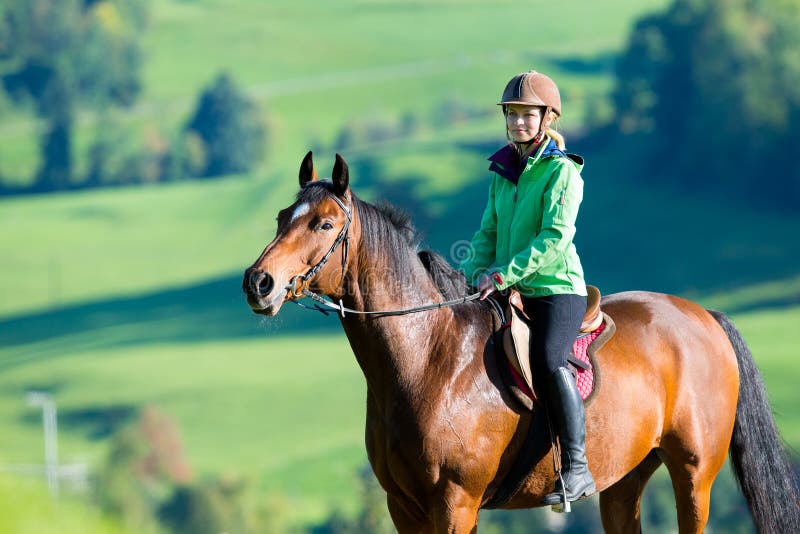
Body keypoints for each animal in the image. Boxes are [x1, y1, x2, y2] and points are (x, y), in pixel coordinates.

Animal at [242, 152, 799, 533]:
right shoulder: (403, 506)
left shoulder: (455, 503)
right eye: (281, 217)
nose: (258, 283)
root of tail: (704, 316)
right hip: (624, 481)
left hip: (694, 474)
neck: (428, 359)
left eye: (324, 223)